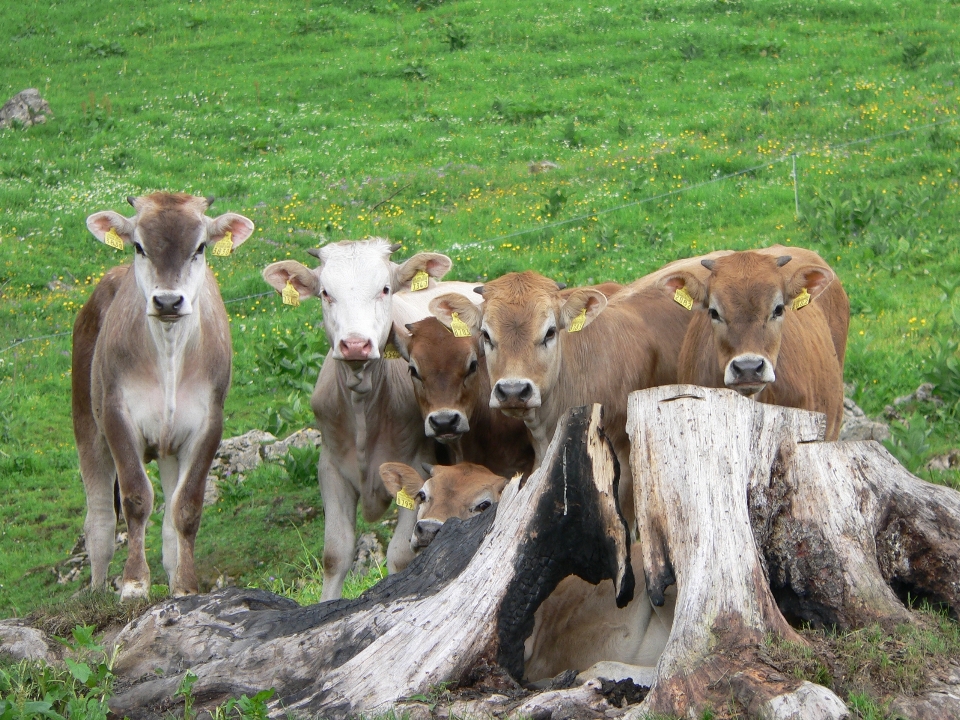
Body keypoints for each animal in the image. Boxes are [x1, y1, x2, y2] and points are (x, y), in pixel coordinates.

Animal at [74, 190, 255, 596]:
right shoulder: (117, 415)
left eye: (200, 247)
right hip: (86, 421)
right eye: (139, 246)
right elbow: (136, 498)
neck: (170, 357)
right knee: (99, 518)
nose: (169, 301)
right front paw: (134, 584)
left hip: (170, 447)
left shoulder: (208, 424)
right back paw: (97, 590)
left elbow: (186, 507)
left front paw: (185, 587)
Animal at [262, 242, 484, 600]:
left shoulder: (417, 466)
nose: (355, 344)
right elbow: (335, 554)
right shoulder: (331, 469)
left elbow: (401, 554)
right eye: (325, 293)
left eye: (385, 289)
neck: (363, 404)